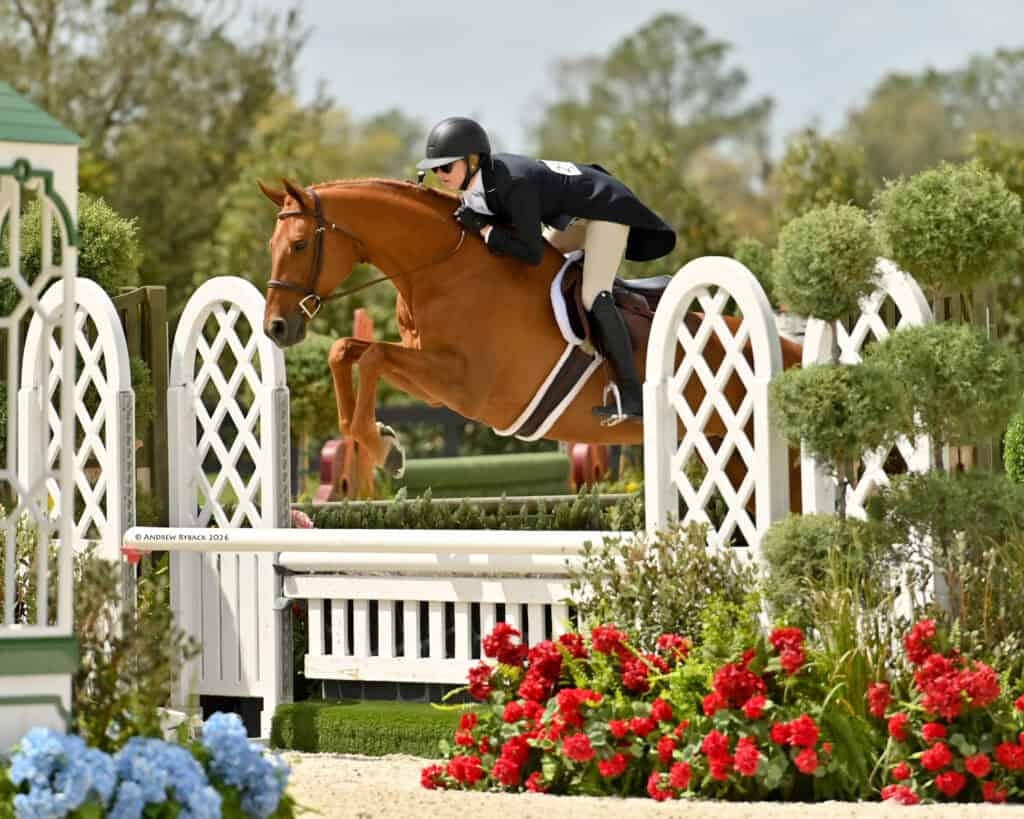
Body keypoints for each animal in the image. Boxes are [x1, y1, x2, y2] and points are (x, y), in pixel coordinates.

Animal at [258, 177, 804, 509]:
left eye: (300, 244)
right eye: (272, 246)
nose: (276, 328)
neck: (445, 269)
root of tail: (795, 355)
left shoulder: (466, 386)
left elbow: (370, 354)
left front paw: (383, 447)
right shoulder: (435, 386)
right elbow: (347, 350)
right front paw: (379, 438)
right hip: (731, 454)